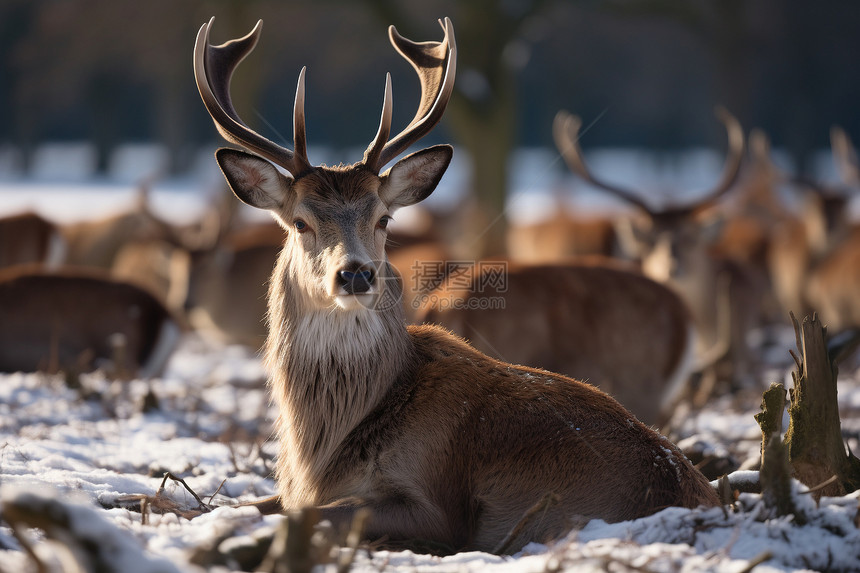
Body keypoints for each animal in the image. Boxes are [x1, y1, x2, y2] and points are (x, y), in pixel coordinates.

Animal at [195, 16, 720, 556]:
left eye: (384, 218)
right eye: (300, 222)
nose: (356, 273)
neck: (322, 451)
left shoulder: (437, 503)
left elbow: (313, 514)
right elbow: (230, 508)